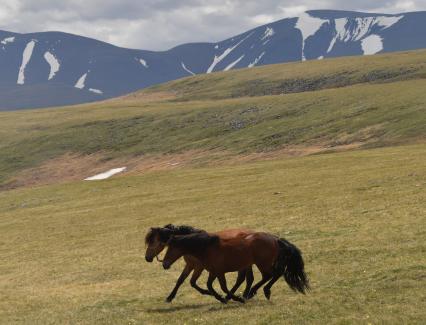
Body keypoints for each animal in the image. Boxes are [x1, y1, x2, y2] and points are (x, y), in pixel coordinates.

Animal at [163, 229, 310, 302]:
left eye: (170, 249)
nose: (164, 264)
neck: (207, 248)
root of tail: (275, 239)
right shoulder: (213, 272)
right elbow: (209, 286)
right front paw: (222, 298)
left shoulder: (219, 272)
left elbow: (222, 286)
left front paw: (235, 298)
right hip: (259, 264)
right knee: (270, 275)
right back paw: (253, 293)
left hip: (262, 263)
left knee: (273, 274)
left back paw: (258, 292)